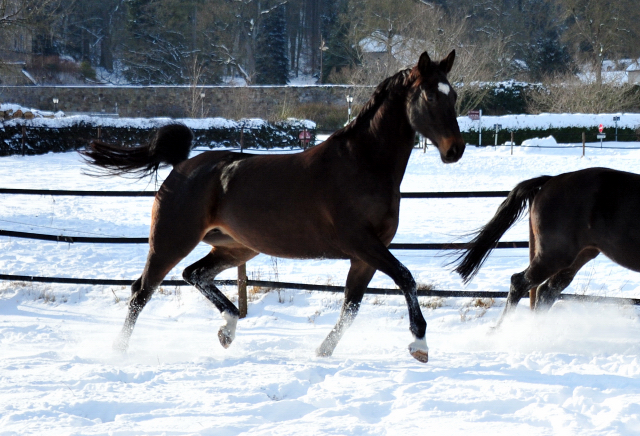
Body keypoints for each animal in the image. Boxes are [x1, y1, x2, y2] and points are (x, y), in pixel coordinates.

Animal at [84, 50, 464, 362]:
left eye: (455, 95)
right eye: (431, 95)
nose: (455, 149)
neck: (362, 165)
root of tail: (183, 166)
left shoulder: (365, 255)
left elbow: (351, 306)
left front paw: (323, 351)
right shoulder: (361, 243)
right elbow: (406, 278)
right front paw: (419, 344)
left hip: (236, 247)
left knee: (194, 274)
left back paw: (227, 329)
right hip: (171, 241)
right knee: (142, 291)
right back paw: (118, 350)